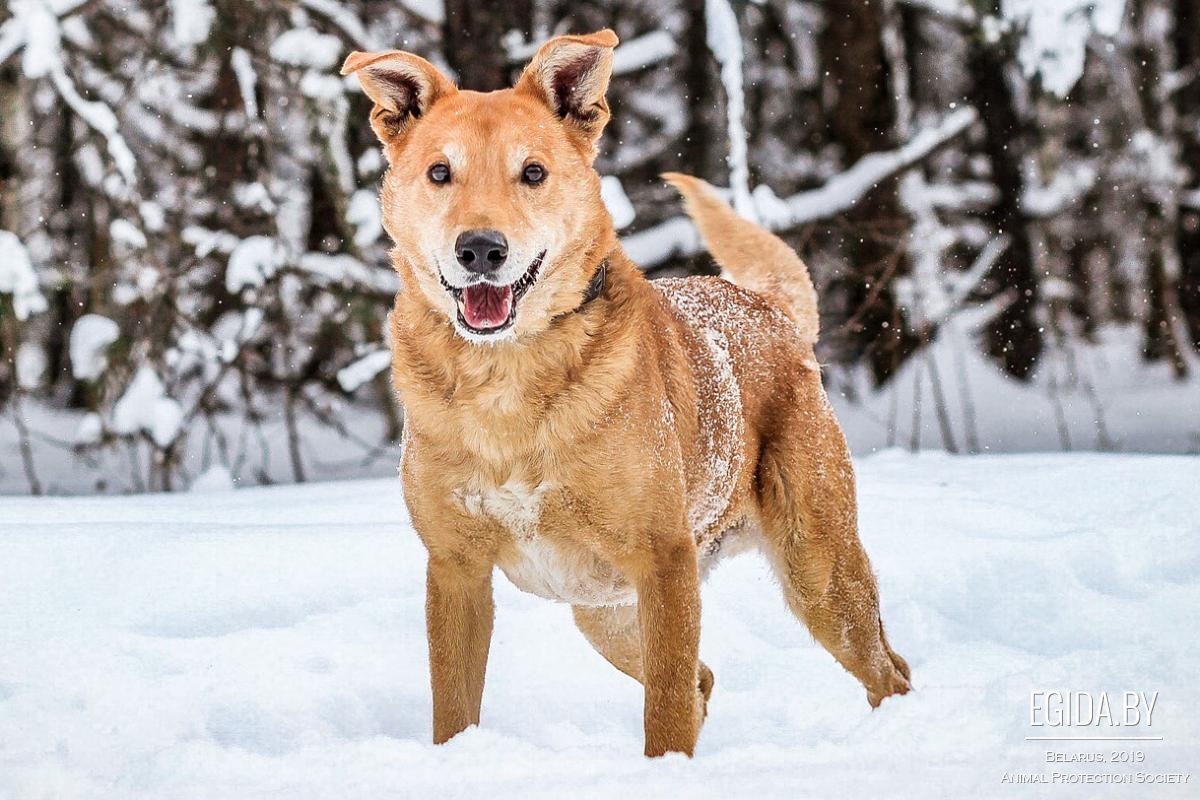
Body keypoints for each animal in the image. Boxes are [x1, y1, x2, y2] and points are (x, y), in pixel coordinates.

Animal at [338, 29, 907, 758]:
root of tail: (766, 308)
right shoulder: (456, 569)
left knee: (885, 669)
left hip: (817, 569)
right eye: (441, 173)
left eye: (532, 173)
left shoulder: (663, 561)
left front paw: (666, 770)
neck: (507, 382)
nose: (480, 250)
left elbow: (664, 711)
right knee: (704, 678)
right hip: (602, 612)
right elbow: (453, 709)